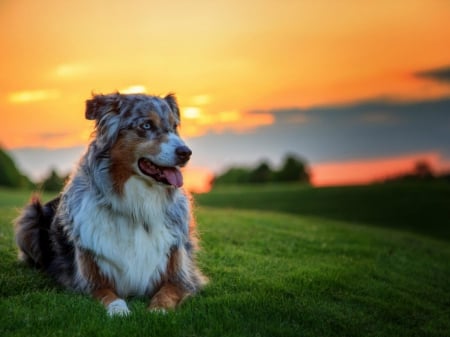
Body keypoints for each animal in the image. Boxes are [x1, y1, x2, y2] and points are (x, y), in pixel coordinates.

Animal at [14, 92, 207, 316]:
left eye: (174, 126)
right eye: (146, 125)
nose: (186, 152)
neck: (137, 208)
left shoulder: (182, 276)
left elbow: (166, 294)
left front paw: (157, 311)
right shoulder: (88, 280)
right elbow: (109, 296)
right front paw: (120, 311)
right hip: (29, 218)